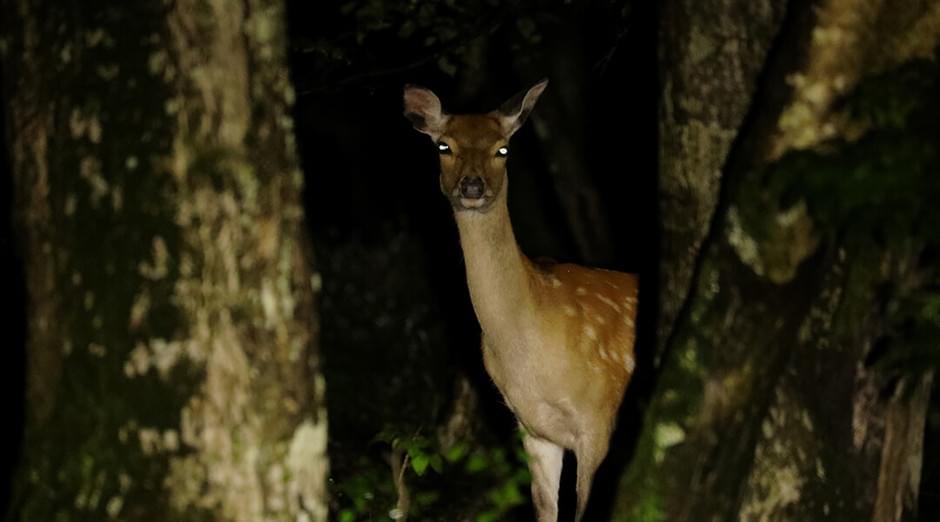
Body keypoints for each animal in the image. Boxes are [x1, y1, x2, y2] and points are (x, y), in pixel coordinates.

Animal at [404, 80, 640, 520]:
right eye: (444, 146)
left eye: (502, 149)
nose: (472, 186)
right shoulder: (533, 429)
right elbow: (545, 509)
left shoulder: (599, 416)